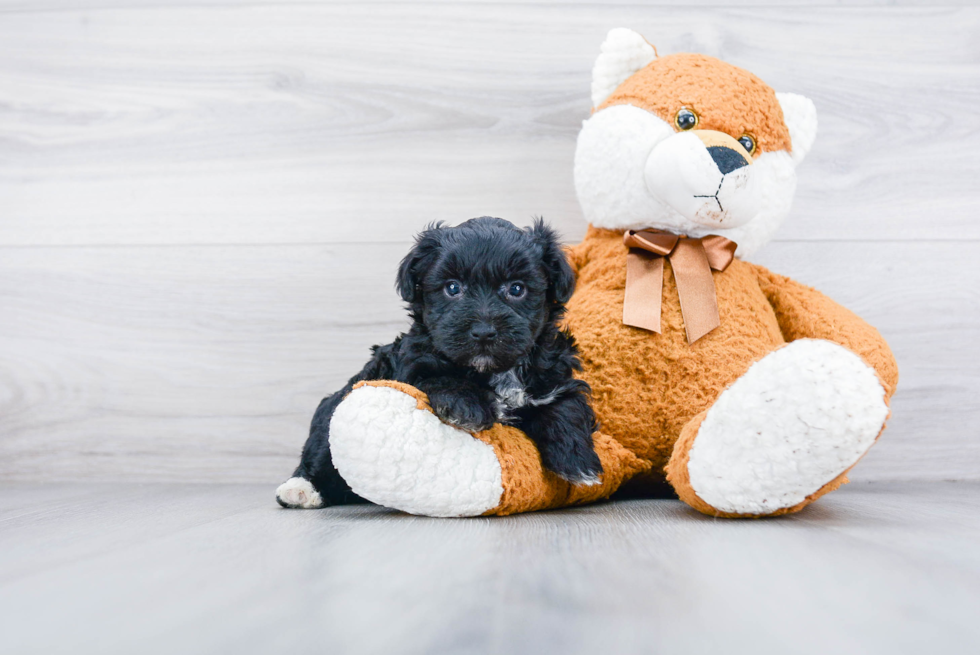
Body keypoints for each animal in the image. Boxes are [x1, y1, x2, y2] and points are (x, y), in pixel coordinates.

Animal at [272, 218, 600, 510]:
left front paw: (579, 462)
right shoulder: (411, 366)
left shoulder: (554, 377)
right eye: (452, 288)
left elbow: (566, 407)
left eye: (517, 289)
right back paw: (299, 489)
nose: (484, 331)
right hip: (330, 412)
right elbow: (441, 377)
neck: (495, 371)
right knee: (319, 451)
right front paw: (467, 407)